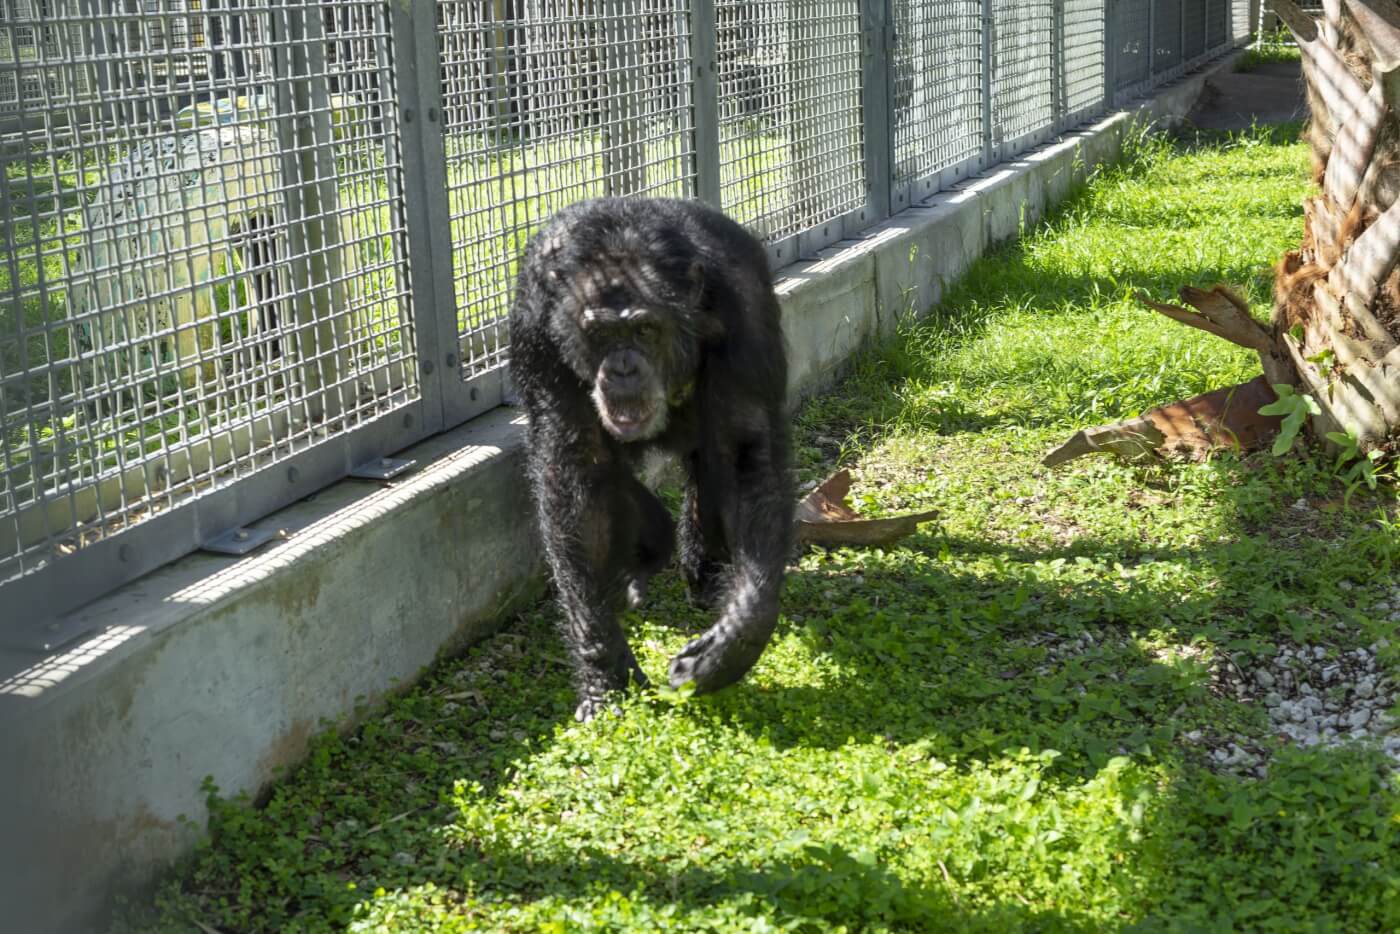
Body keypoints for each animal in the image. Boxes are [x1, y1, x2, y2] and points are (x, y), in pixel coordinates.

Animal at [509, 197, 795, 722]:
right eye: (601, 334)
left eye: (645, 328)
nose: (622, 367)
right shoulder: (536, 325)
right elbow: (575, 463)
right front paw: (604, 671)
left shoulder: (745, 308)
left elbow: (745, 448)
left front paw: (736, 636)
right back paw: (640, 561)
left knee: (713, 458)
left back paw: (707, 575)